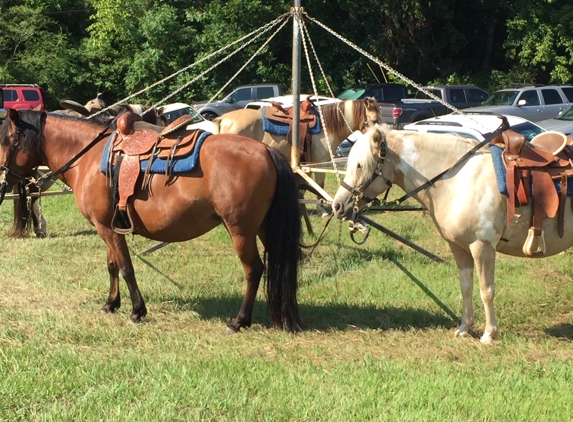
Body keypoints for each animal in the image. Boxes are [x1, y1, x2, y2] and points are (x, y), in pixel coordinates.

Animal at [0, 109, 304, 332]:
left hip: (240, 230)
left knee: (254, 269)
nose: (4, 179)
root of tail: (266, 151)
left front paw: (137, 311)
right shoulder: (106, 228)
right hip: (263, 228)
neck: (88, 157)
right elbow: (112, 266)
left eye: (8, 141)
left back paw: (239, 320)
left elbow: (126, 268)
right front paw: (111, 304)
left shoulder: (108, 229)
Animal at [212, 97, 382, 213]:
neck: (327, 126)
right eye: (374, 119)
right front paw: (322, 210)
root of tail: (223, 118)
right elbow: (319, 185)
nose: (381, 139)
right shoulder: (321, 162)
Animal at [330, 123, 572, 344]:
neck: (460, 179)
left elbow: (486, 290)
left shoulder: (482, 247)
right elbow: (466, 287)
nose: (338, 206)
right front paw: (464, 328)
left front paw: (488, 334)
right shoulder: (459, 247)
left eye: (360, 165)